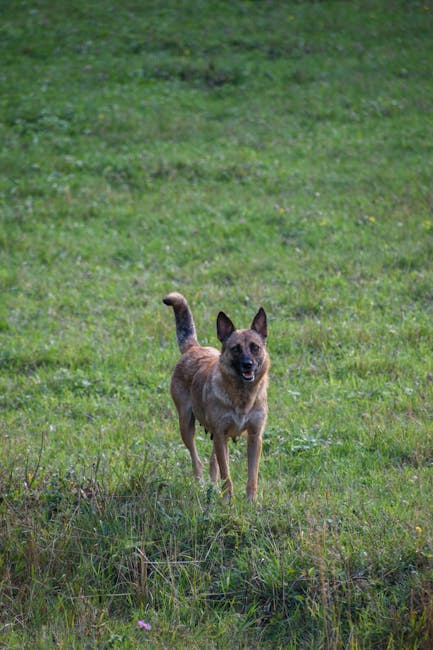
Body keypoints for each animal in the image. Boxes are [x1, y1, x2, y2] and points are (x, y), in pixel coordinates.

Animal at [164, 292, 268, 498]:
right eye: (236, 348)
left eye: (255, 347)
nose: (248, 365)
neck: (242, 397)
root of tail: (193, 348)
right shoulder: (220, 435)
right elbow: (226, 474)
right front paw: (228, 500)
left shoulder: (254, 437)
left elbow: (252, 476)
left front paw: (251, 501)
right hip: (186, 425)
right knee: (198, 461)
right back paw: (201, 485)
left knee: (213, 463)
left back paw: (212, 487)